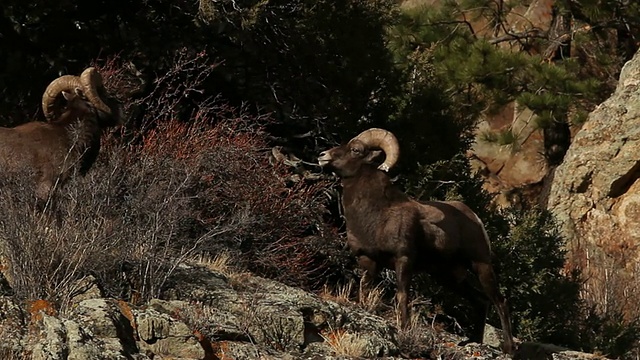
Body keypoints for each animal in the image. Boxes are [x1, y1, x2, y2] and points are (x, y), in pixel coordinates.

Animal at [318, 128, 516, 352]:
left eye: (356, 150)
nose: (322, 156)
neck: (376, 214)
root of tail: (475, 218)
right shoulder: (368, 260)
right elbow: (364, 290)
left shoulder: (403, 260)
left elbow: (402, 296)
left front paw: (403, 328)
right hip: (449, 276)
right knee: (481, 301)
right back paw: (472, 341)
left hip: (480, 265)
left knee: (499, 301)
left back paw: (509, 348)